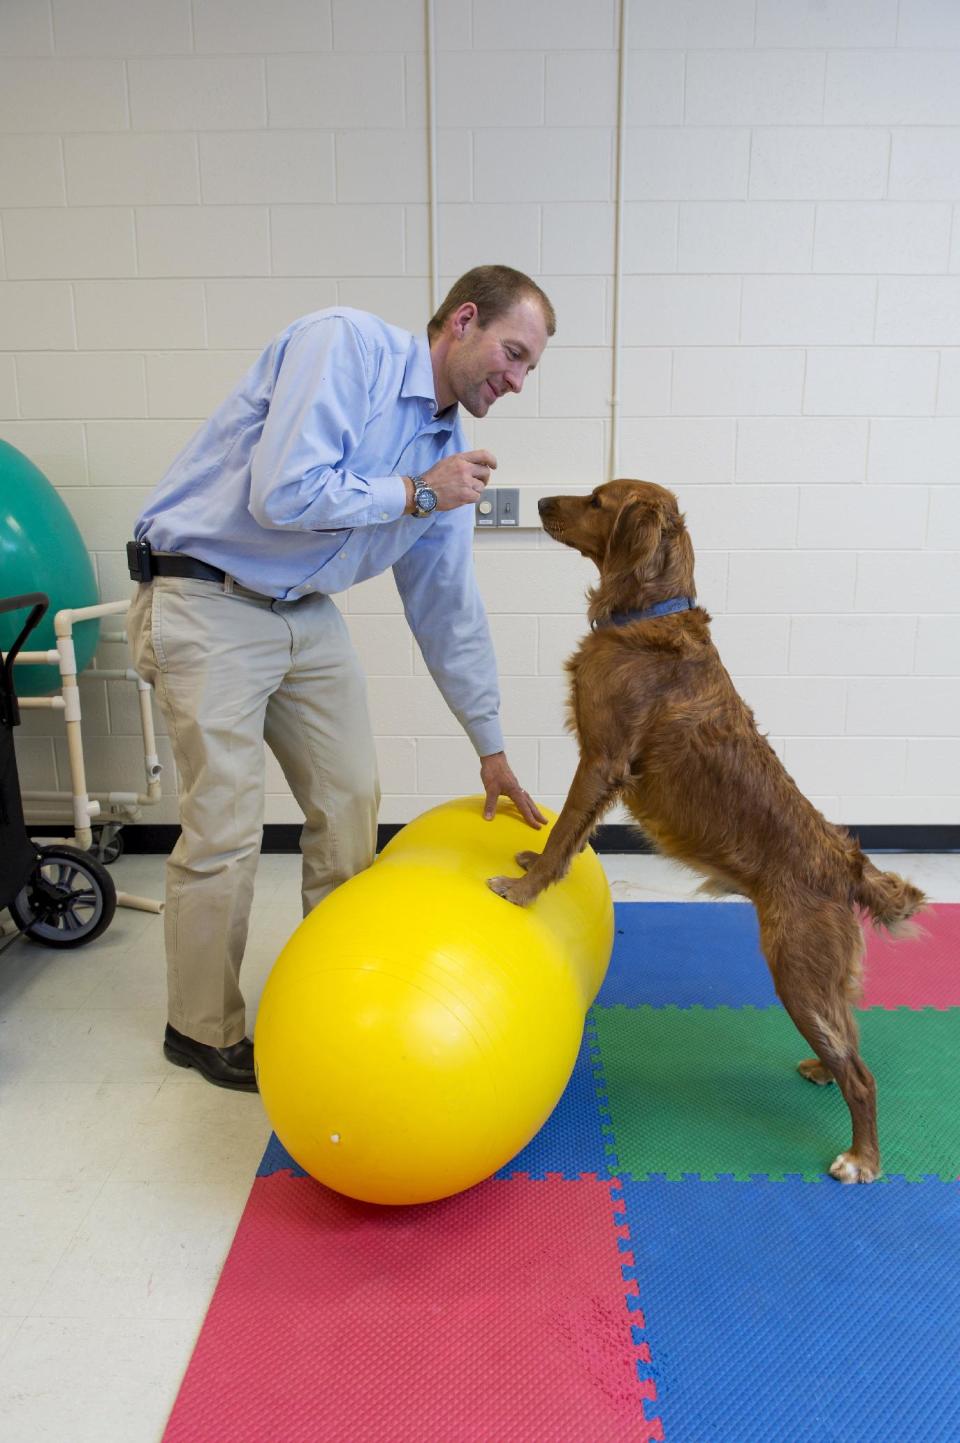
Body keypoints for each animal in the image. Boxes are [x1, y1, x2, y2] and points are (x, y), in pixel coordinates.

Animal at [490, 481, 923, 1183]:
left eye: (597, 499)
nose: (540, 503)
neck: (647, 612)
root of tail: (846, 861)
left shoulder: (602, 759)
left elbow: (565, 833)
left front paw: (524, 889)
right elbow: (572, 836)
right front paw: (534, 871)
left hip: (796, 971)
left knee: (862, 1076)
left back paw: (861, 1157)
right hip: (820, 980)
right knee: (849, 1039)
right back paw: (820, 1070)